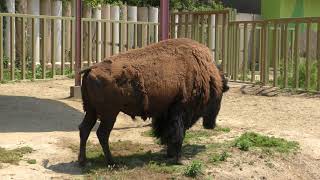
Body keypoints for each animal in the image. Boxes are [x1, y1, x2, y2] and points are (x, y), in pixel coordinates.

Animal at [79, 38, 229, 166]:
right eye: (219, 96)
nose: (211, 125)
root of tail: (91, 69)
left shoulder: (167, 113)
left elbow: (168, 134)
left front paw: (169, 154)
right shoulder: (180, 112)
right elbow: (178, 135)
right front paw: (179, 160)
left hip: (91, 111)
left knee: (84, 129)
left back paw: (83, 161)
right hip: (109, 114)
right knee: (102, 134)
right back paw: (112, 162)